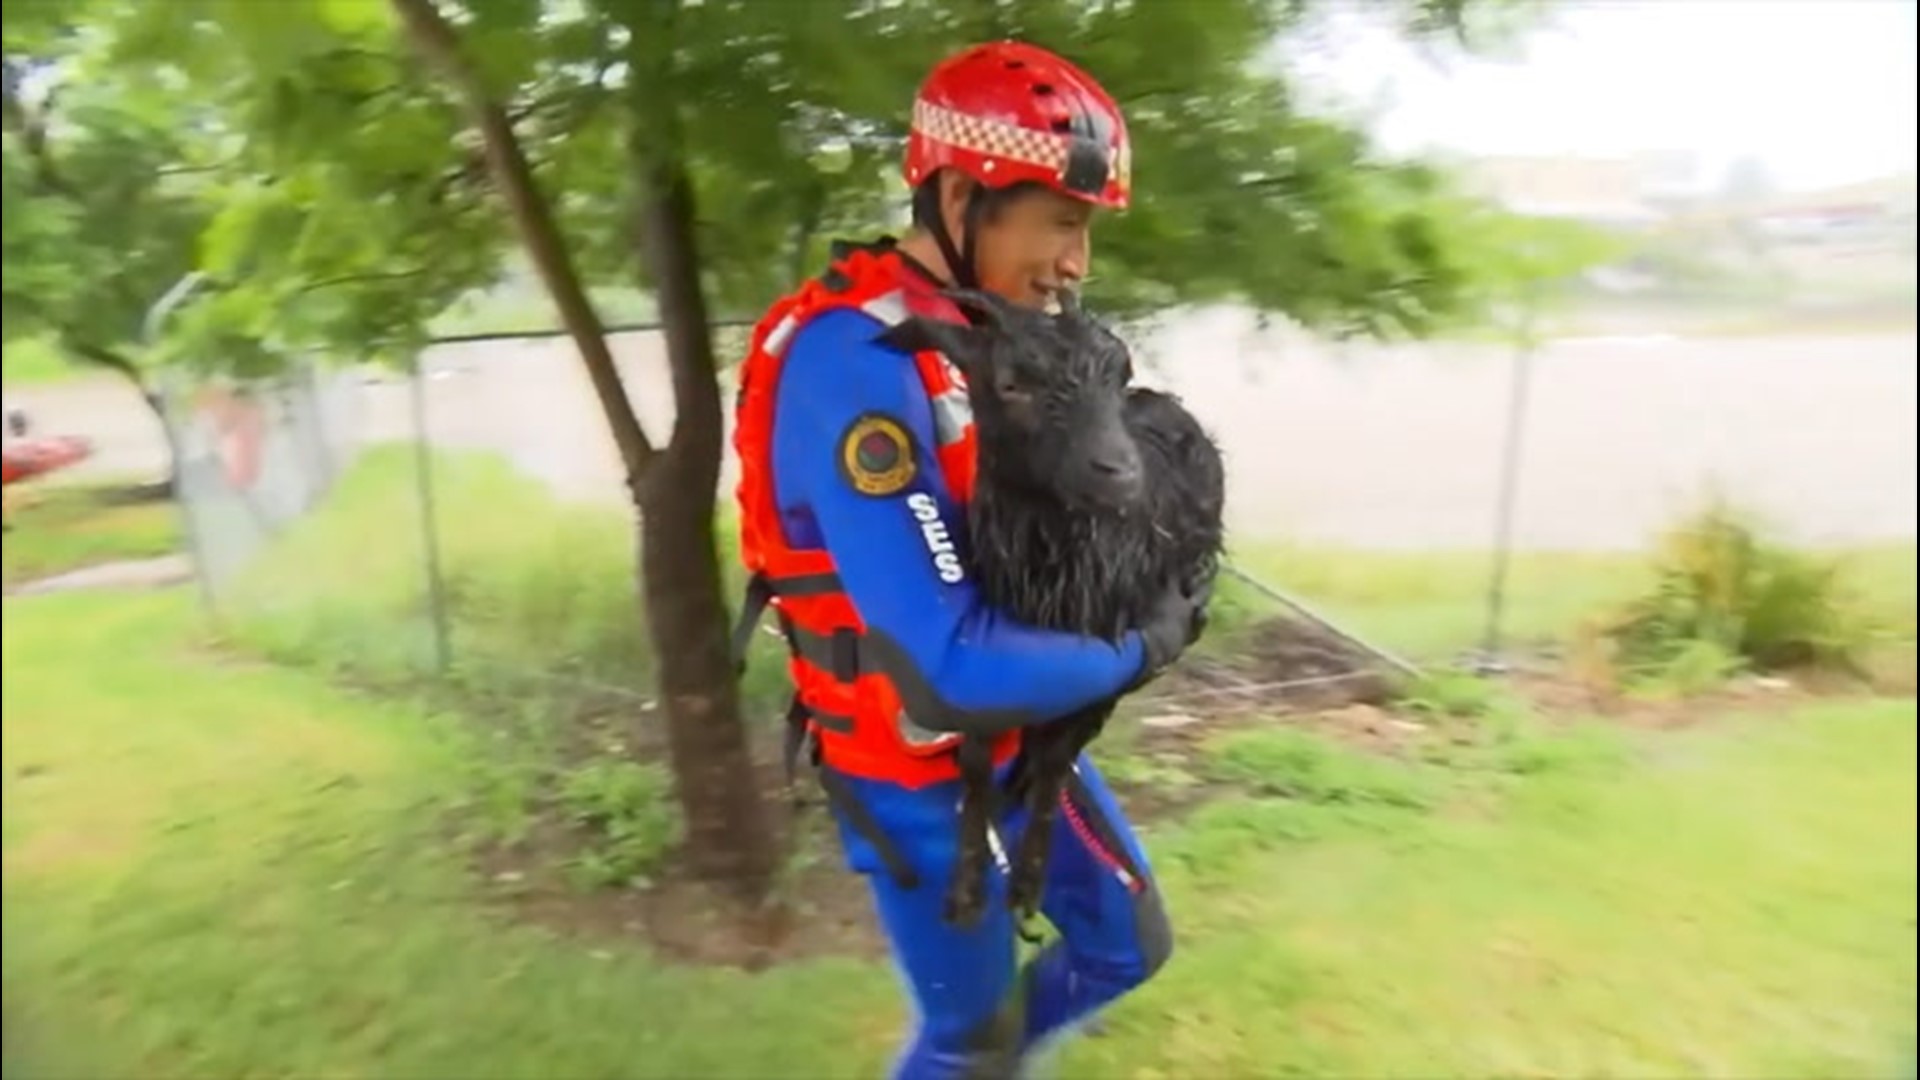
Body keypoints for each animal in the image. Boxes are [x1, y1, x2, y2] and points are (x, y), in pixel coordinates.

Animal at [879, 286, 1221, 926]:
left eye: (1118, 375)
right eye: (1011, 383)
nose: (1120, 472)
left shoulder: (1102, 665)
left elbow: (1057, 761)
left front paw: (1027, 885)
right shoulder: (992, 652)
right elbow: (977, 759)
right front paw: (966, 887)